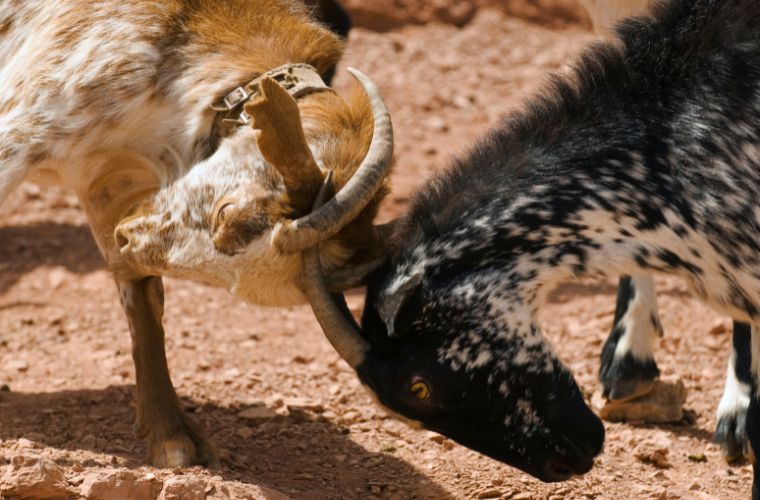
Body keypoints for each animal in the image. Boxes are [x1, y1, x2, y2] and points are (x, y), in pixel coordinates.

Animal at [0, 0, 392, 468]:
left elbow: (144, 301)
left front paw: (171, 437)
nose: (127, 240)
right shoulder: (23, 126)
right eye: (228, 213)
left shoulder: (113, 179)